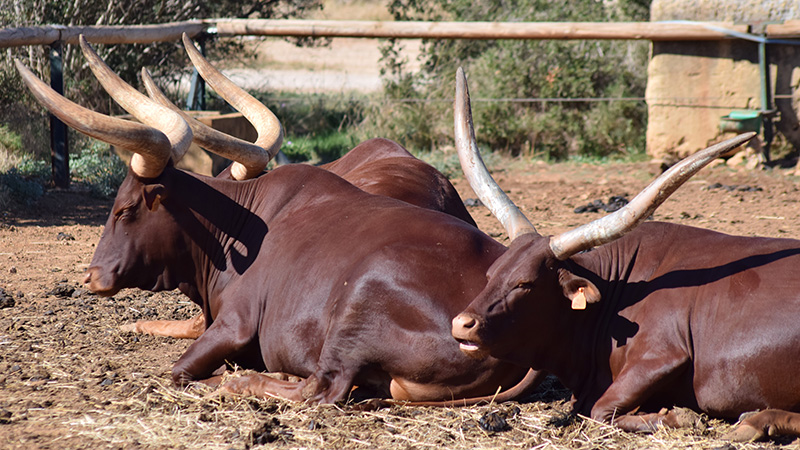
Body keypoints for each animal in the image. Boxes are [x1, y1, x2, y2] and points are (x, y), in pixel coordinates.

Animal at [450, 68, 800, 442]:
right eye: (491, 274)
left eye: (525, 284)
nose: (462, 324)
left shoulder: (661, 355)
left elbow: (601, 410)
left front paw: (679, 417)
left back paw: (754, 422)